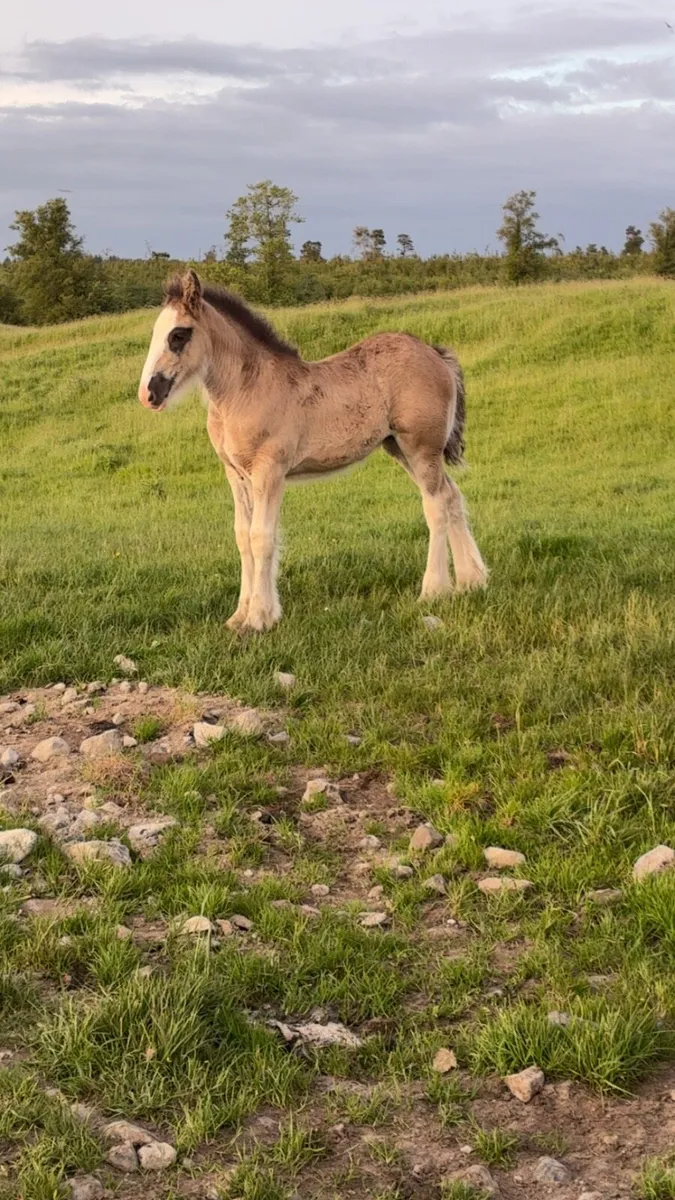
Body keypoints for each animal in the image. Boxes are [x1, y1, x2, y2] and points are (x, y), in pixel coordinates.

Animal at [138, 270, 487, 632]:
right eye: (156, 333)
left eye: (178, 335)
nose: (148, 394)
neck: (245, 391)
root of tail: (434, 353)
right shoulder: (236, 474)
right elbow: (242, 537)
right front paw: (239, 616)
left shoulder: (270, 471)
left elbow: (262, 537)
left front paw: (259, 618)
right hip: (400, 449)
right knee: (451, 495)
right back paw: (471, 581)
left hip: (420, 448)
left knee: (435, 506)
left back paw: (434, 590)